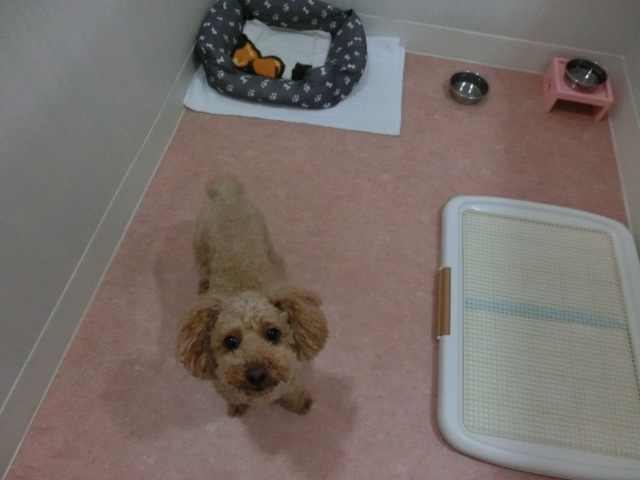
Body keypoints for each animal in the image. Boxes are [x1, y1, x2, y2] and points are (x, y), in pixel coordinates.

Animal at [177, 176, 328, 417]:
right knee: (203, 269)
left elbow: (294, 392)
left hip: (263, 231)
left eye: (273, 333)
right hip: (199, 246)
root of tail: (226, 193)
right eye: (230, 341)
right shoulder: (224, 386)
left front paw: (301, 404)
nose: (257, 373)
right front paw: (237, 407)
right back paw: (202, 284)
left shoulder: (292, 378)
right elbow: (233, 397)